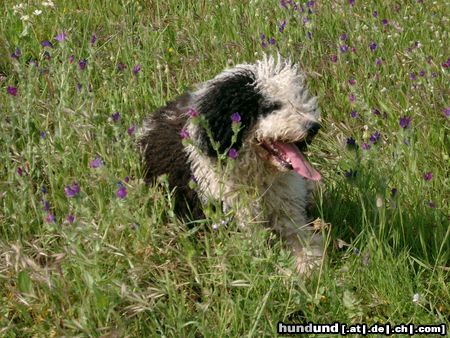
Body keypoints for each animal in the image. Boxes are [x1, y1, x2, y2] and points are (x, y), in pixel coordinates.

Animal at [139, 54, 326, 274]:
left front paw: (308, 263)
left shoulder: (288, 207)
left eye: (298, 98)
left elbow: (301, 238)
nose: (313, 127)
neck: (257, 179)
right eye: (271, 107)